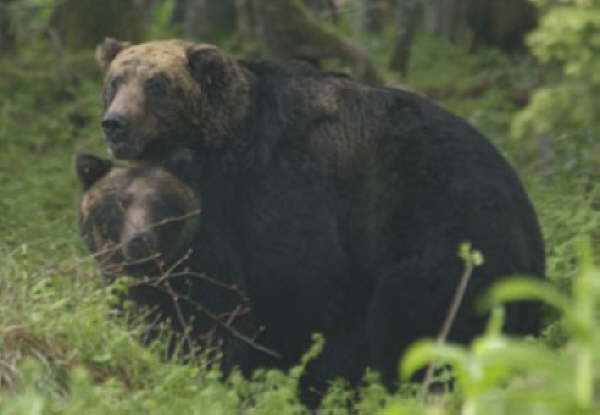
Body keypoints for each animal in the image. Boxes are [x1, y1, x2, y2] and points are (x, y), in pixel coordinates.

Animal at [92, 39, 544, 396]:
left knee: (414, 315)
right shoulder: (219, 208)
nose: (115, 124)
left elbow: (300, 287)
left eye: (157, 84)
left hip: (451, 233)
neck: (226, 146)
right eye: (115, 81)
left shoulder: (286, 186)